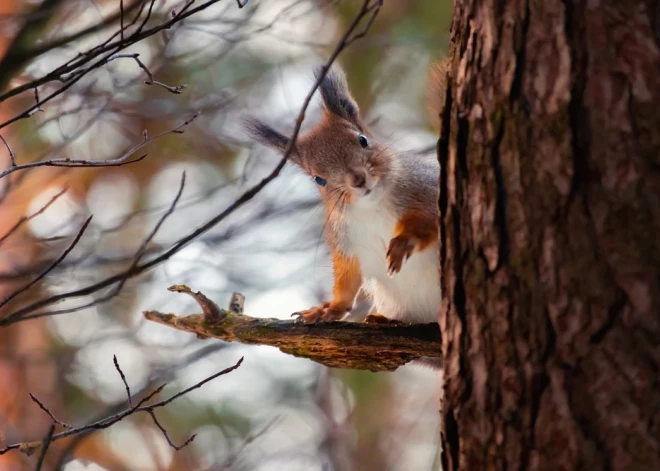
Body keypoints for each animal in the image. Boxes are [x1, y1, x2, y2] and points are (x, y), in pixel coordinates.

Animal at [245, 64, 446, 330]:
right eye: (319, 179)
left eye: (363, 139)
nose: (357, 179)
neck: (372, 208)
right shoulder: (346, 241)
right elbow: (347, 278)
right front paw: (329, 308)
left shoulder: (428, 188)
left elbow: (430, 220)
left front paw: (404, 242)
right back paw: (384, 318)